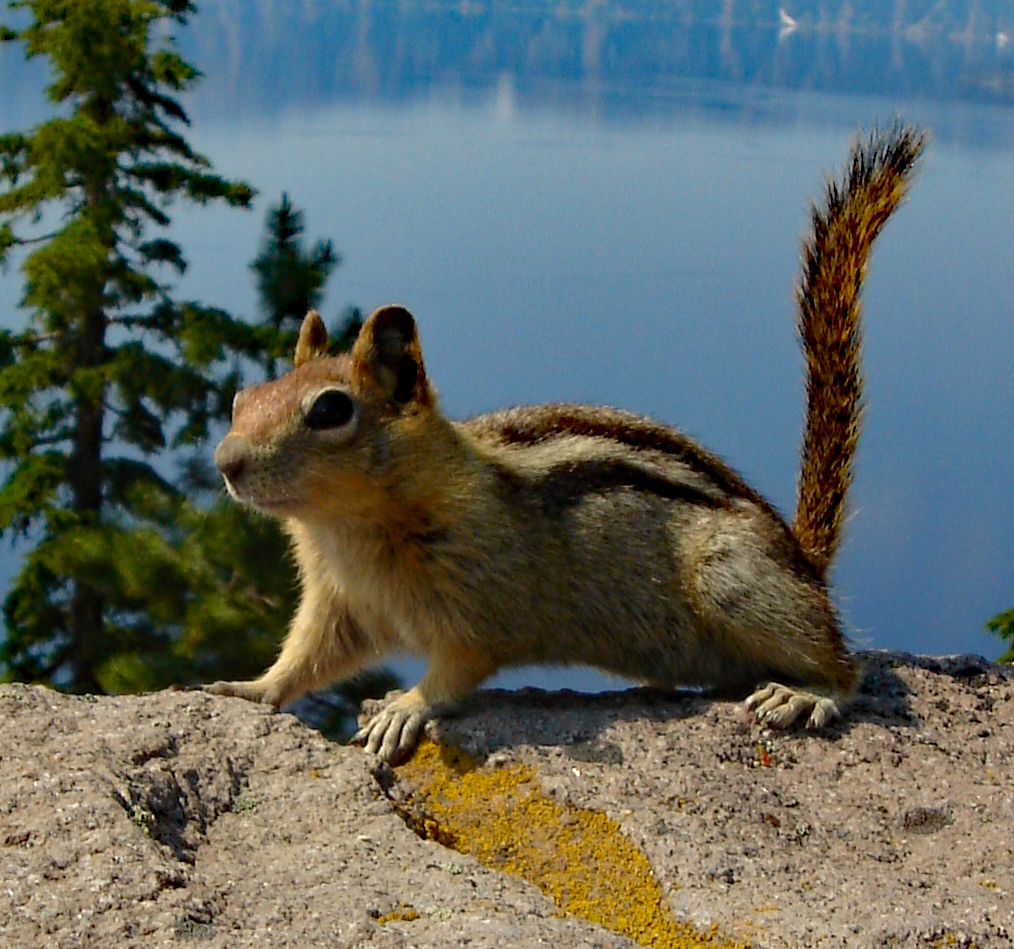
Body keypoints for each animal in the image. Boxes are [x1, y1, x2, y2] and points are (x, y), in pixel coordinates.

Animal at [207, 126, 928, 762]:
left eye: (330, 409)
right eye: (244, 398)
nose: (226, 462)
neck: (345, 527)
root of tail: (803, 557)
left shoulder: (482, 606)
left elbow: (457, 668)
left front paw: (405, 706)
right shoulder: (339, 604)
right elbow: (308, 657)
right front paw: (246, 685)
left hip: (737, 579)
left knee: (845, 664)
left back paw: (807, 694)